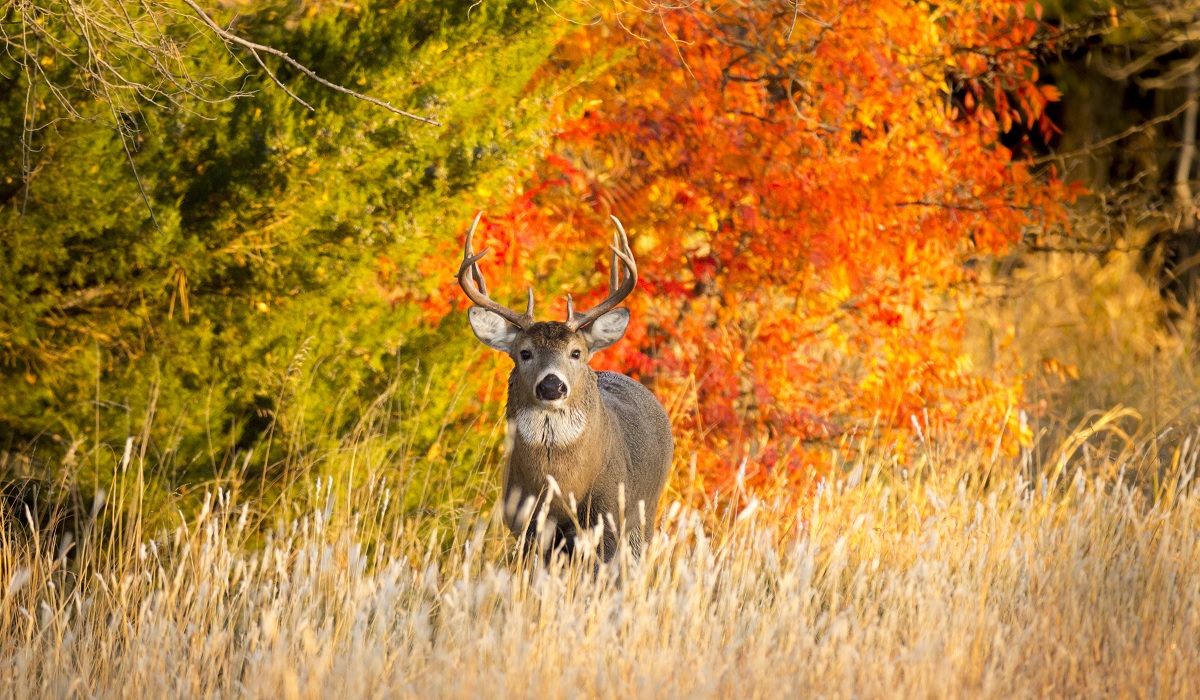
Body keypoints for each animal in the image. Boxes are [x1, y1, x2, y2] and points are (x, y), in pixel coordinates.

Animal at [456, 211, 672, 561]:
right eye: (524, 352)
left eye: (576, 352)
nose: (552, 385)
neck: (559, 488)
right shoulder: (527, 525)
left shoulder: (607, 519)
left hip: (644, 513)